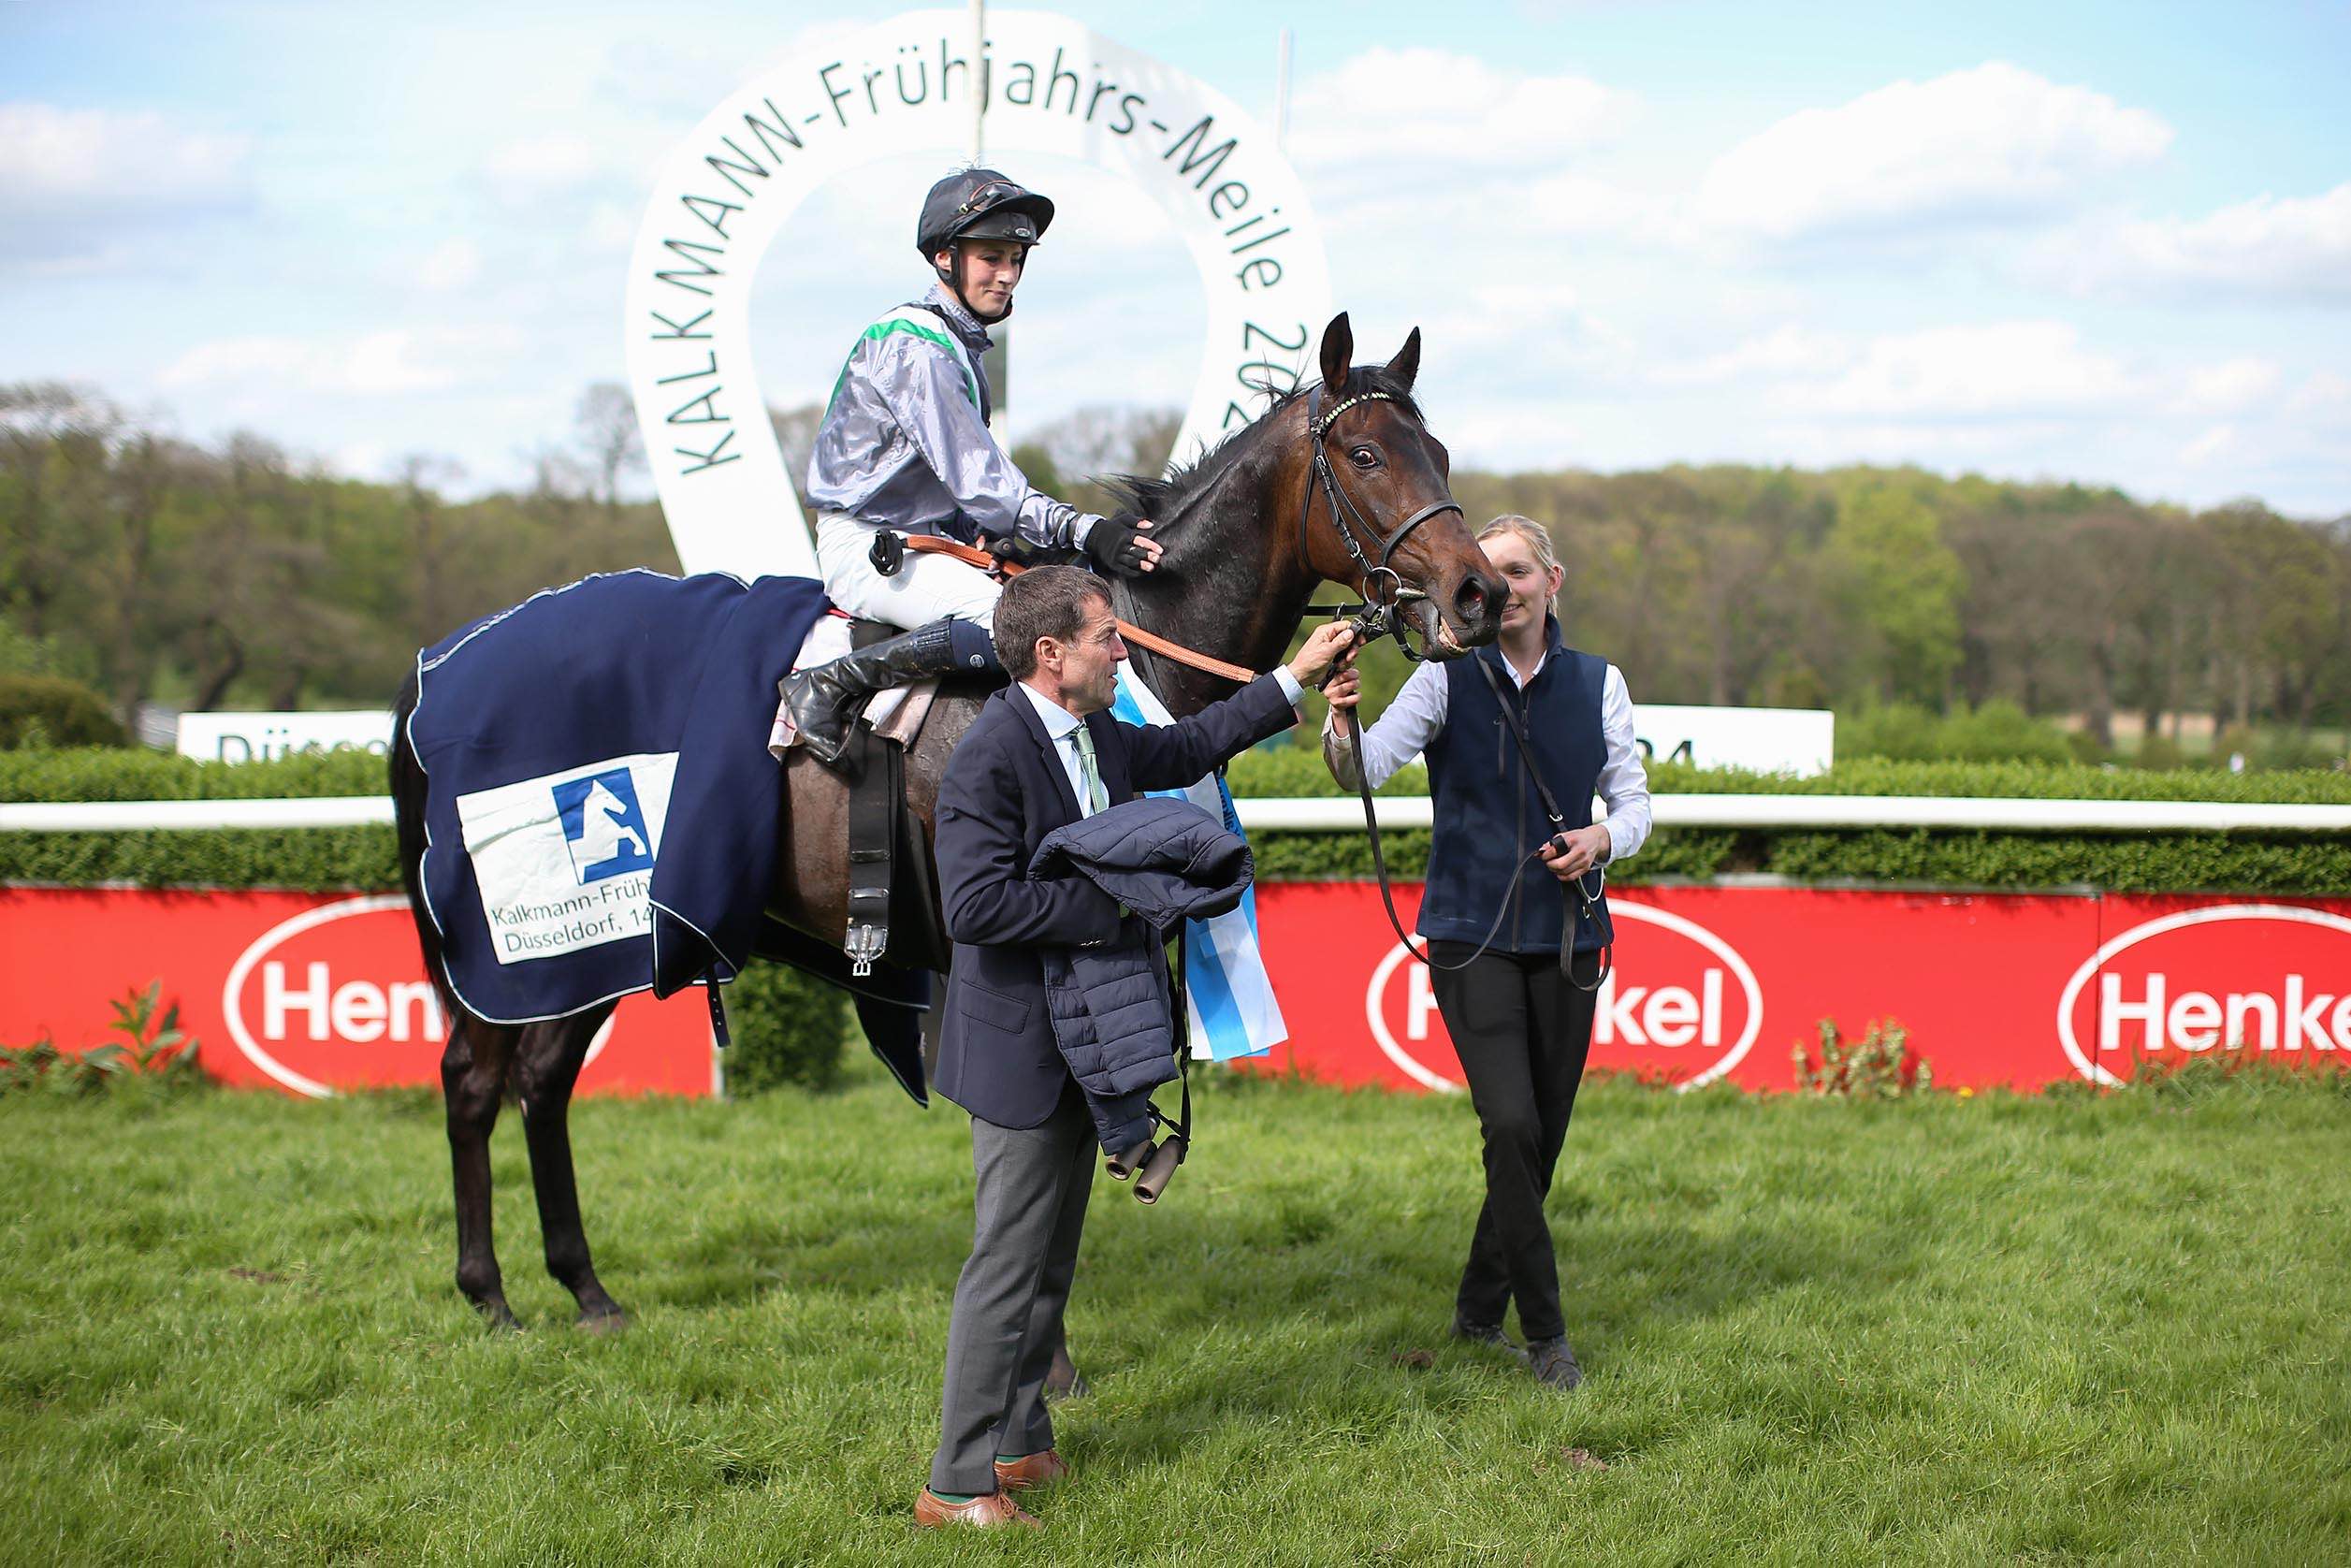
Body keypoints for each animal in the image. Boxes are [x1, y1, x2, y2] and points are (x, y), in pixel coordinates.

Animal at [387, 312, 1504, 1335]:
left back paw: (581, 1288)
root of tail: (437, 664)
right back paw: (490, 1293)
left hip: (604, 942)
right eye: (1364, 455)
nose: (1477, 593)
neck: (1132, 639)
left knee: (536, 1082)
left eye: (1441, 452)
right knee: (477, 1079)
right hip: (544, 935)